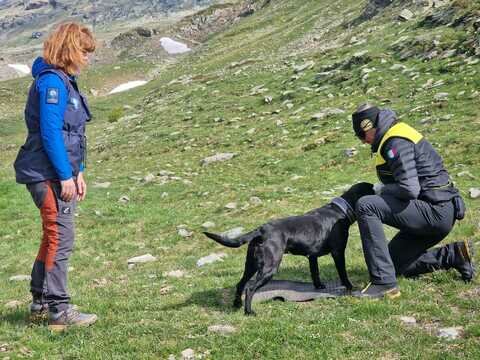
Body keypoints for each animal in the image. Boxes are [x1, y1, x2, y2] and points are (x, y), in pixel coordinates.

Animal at [202, 181, 376, 314]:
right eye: (372, 190)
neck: (340, 210)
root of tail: (261, 230)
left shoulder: (312, 257)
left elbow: (315, 273)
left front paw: (319, 286)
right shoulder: (338, 252)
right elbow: (343, 274)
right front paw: (349, 287)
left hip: (251, 265)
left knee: (240, 284)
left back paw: (236, 305)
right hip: (269, 267)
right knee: (250, 288)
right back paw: (249, 312)